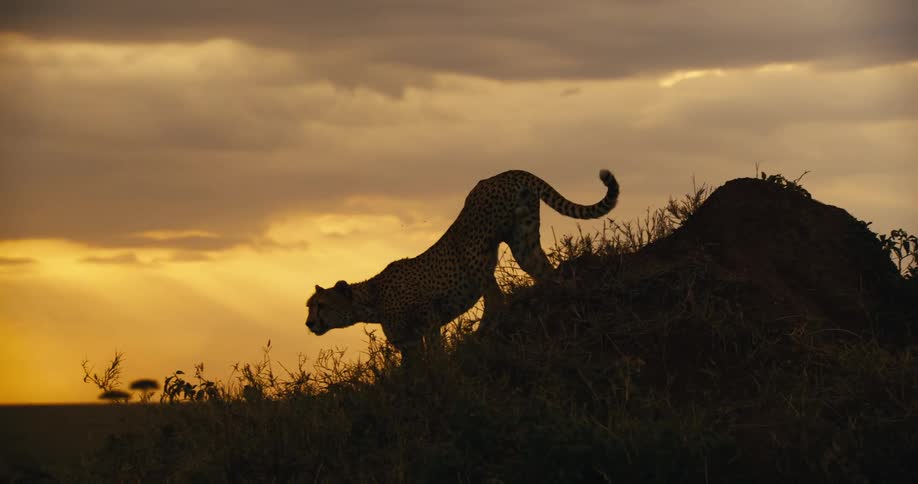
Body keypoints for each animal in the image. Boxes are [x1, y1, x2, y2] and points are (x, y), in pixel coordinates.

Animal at [305, 169, 619, 361]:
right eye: (310, 306)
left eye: (321, 305)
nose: (309, 323)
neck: (371, 299)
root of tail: (510, 172)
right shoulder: (408, 342)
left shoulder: (428, 317)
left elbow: (434, 353)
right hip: (524, 240)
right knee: (552, 276)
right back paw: (573, 301)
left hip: (475, 252)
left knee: (496, 298)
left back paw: (481, 336)